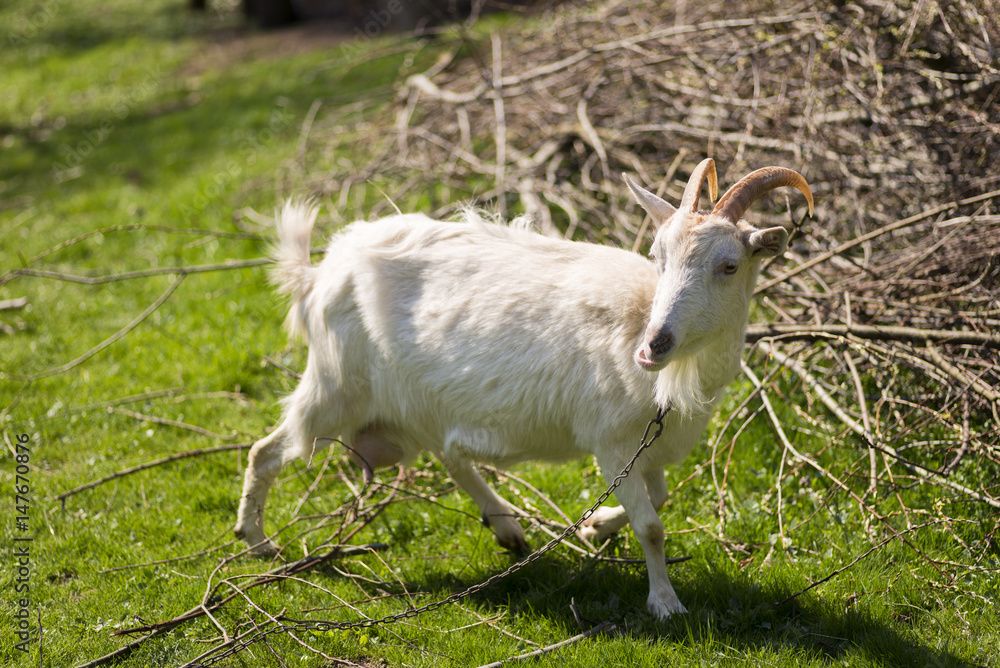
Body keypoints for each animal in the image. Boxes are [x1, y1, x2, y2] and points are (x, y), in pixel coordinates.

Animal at [234, 158, 813, 618]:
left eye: (729, 265)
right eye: (658, 256)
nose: (654, 345)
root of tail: (318, 274)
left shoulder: (648, 446)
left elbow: (660, 496)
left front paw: (596, 527)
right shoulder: (611, 441)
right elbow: (651, 525)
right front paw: (665, 603)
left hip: (414, 403)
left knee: (449, 455)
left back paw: (507, 528)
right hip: (335, 387)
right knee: (267, 451)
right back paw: (257, 542)